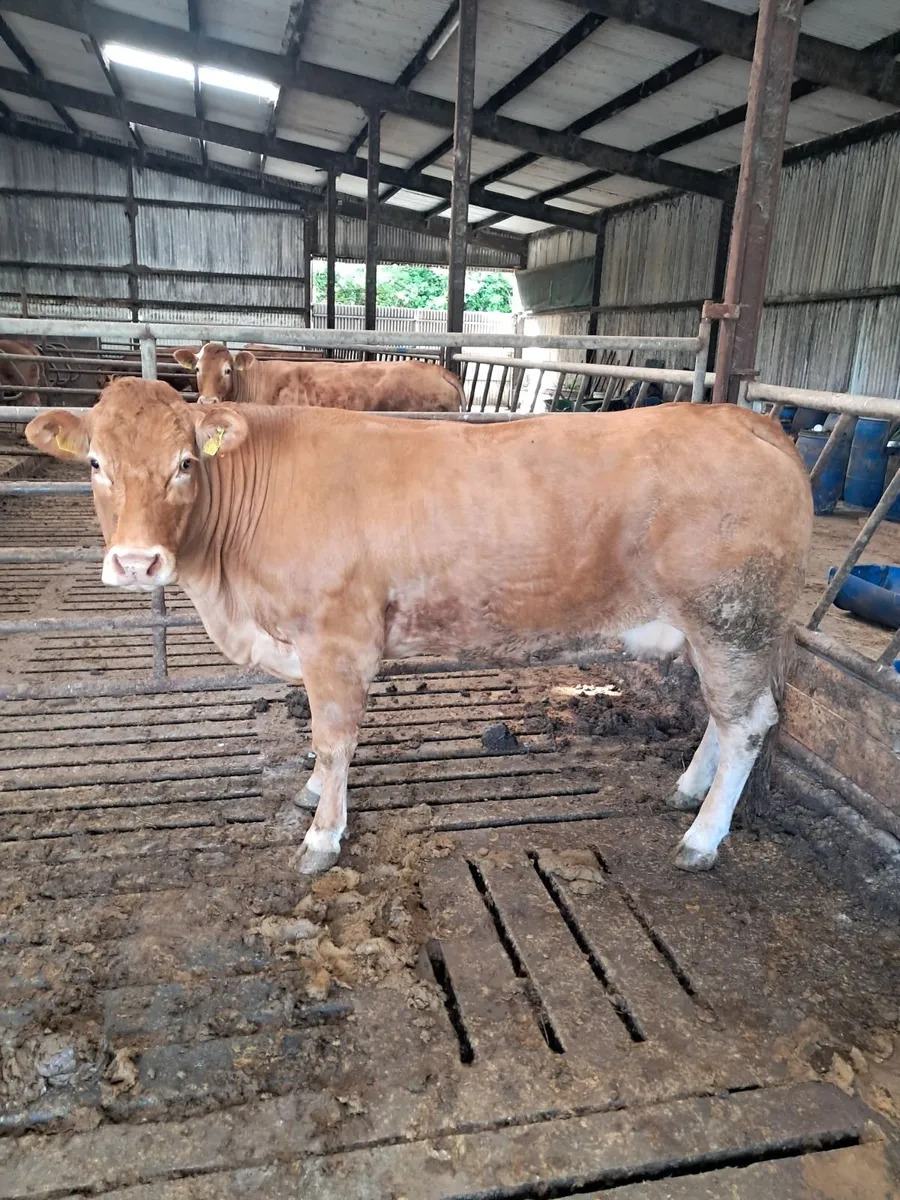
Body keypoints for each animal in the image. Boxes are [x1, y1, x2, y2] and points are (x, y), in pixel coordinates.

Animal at [26, 380, 813, 877]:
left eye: (185, 463)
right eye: (95, 464)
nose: (137, 561)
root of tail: (744, 418)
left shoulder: (338, 640)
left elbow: (334, 739)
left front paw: (322, 836)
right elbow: (325, 745)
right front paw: (313, 793)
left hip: (732, 619)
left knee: (746, 723)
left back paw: (702, 836)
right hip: (722, 629)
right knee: (723, 717)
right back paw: (688, 788)